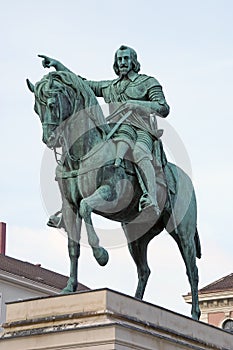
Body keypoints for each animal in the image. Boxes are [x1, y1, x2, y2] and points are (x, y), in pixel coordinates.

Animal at [26, 71, 202, 320]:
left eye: (51, 104)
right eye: (35, 108)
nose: (49, 139)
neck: (84, 152)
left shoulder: (110, 194)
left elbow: (86, 207)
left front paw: (101, 255)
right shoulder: (69, 206)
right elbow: (73, 246)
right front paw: (69, 288)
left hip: (182, 232)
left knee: (191, 270)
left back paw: (195, 315)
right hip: (137, 236)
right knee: (144, 270)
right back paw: (137, 303)